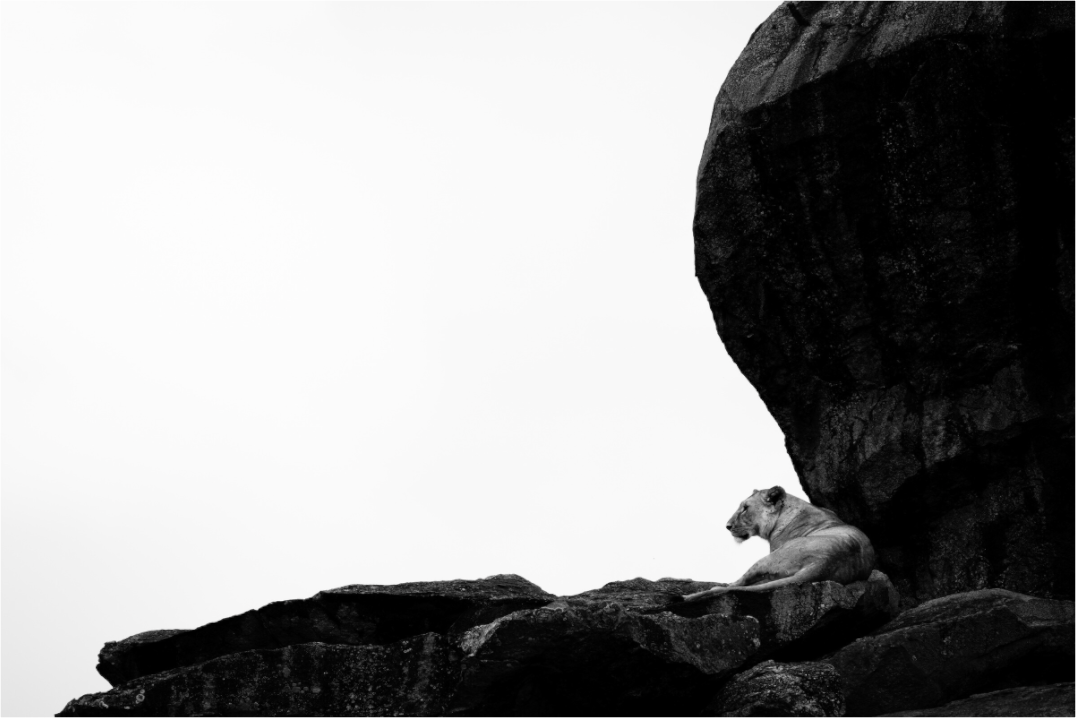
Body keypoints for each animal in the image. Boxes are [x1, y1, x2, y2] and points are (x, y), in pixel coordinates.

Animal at [681, 486, 875, 603]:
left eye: (745, 508)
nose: (727, 526)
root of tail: (823, 564)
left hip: (767, 559)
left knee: (737, 584)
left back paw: (713, 587)